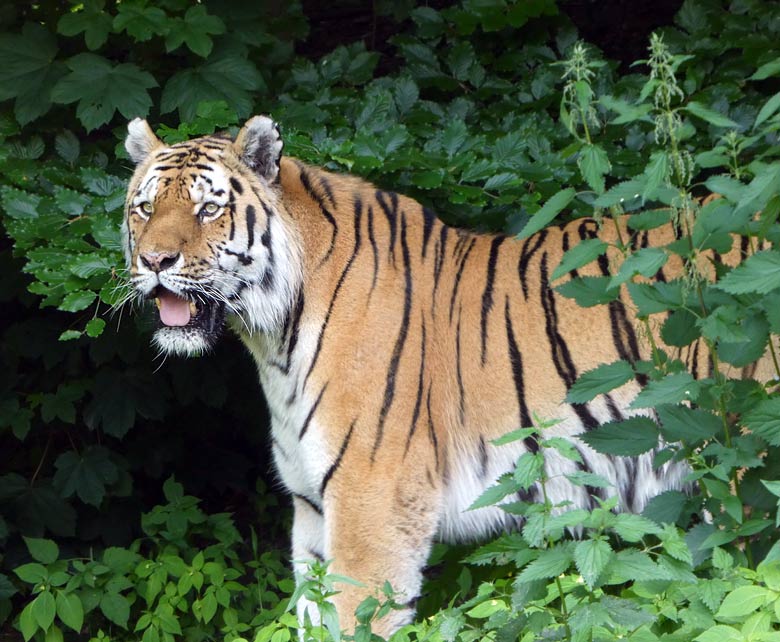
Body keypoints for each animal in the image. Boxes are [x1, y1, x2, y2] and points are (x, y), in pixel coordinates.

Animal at [123, 116, 772, 636]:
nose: (154, 262)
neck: (271, 339)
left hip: (746, 475)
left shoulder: (372, 509)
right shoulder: (311, 512)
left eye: (209, 208)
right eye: (145, 207)